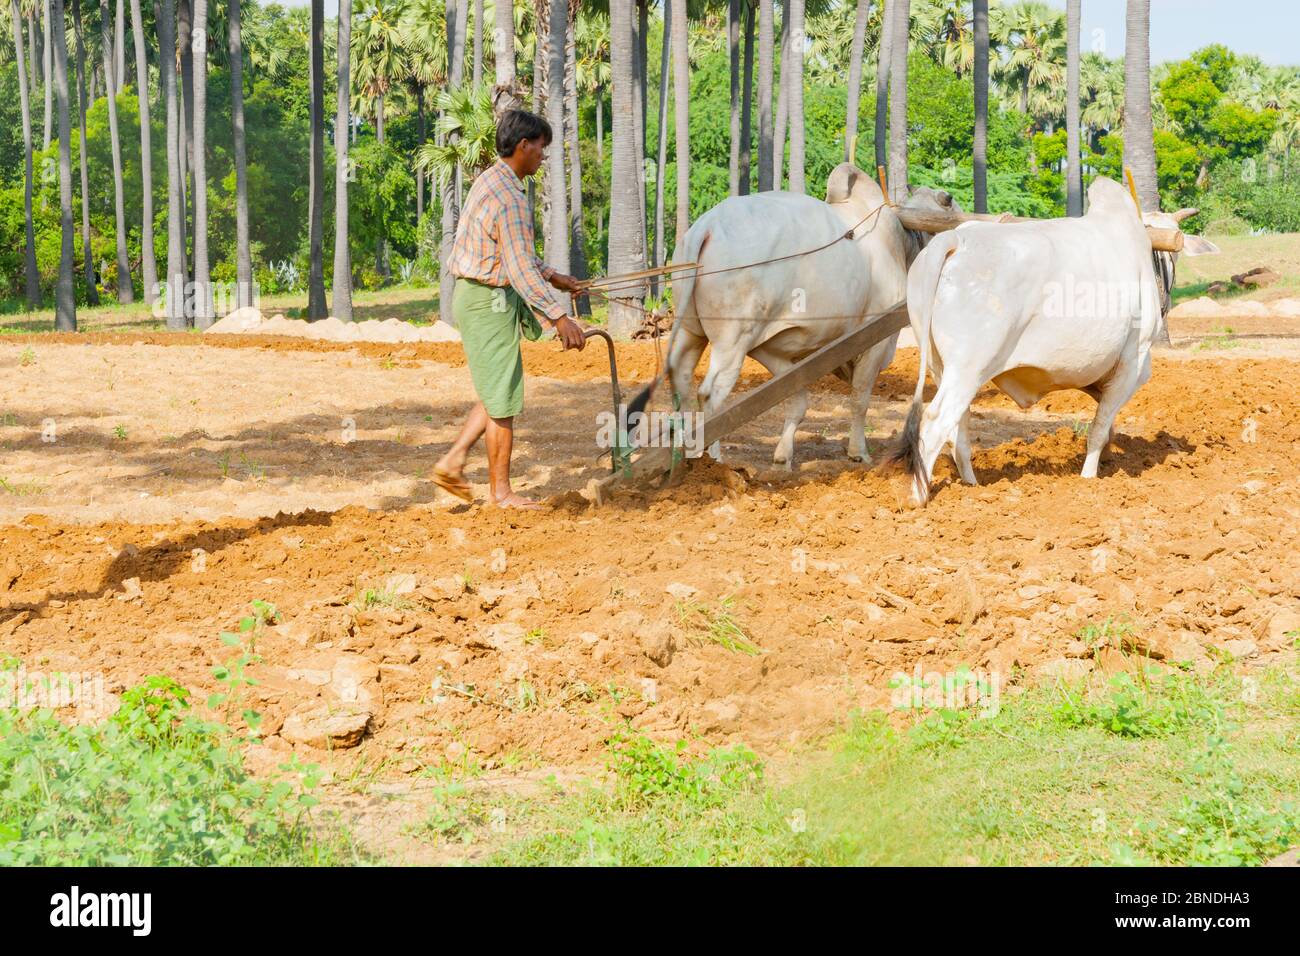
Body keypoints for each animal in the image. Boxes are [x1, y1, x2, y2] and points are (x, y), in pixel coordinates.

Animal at [660, 165, 956, 470]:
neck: (898, 239)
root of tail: (706, 227)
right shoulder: (876, 340)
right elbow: (860, 397)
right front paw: (858, 452)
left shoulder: (769, 344)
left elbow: (798, 399)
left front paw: (783, 457)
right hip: (732, 341)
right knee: (710, 394)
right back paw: (713, 460)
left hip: (691, 331)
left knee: (681, 381)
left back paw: (688, 457)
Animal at [889, 176, 1211, 504]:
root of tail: (956, 239)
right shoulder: (1131, 364)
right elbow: (1099, 428)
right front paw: (1089, 479)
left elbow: (1105, 425)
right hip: (968, 369)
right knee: (934, 424)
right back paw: (920, 497)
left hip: (943, 368)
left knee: (958, 432)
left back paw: (971, 486)